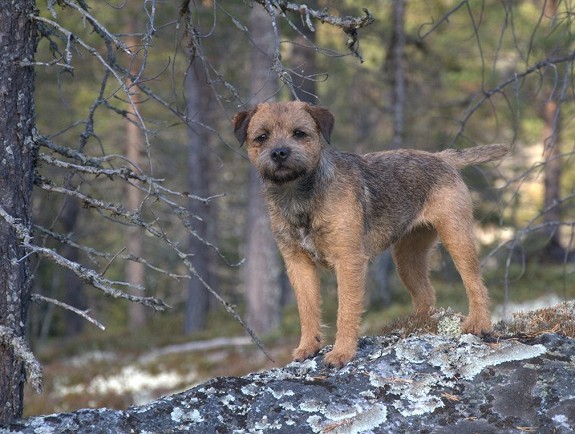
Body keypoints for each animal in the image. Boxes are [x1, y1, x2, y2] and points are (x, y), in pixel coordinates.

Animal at [232, 101, 510, 366]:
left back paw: (478, 324)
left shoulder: (348, 261)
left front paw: (342, 353)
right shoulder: (298, 264)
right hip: (407, 257)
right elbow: (307, 309)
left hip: (456, 237)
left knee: (475, 283)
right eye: (262, 137)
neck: (300, 195)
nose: (279, 153)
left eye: (299, 133)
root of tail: (442, 157)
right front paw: (308, 347)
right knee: (426, 294)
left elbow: (346, 310)